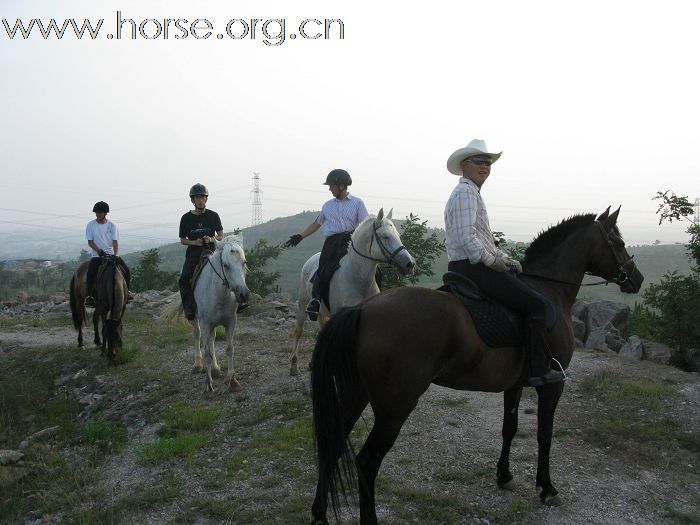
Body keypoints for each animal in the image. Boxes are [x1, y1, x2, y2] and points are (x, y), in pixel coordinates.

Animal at [190, 235, 250, 390]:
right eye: (225, 265)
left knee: (212, 340)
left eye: (244, 262)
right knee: (197, 336)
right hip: (196, 321)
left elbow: (229, 349)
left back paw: (216, 369)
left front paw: (232, 380)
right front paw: (208, 385)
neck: (219, 294)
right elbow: (207, 354)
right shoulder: (205, 324)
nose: (243, 294)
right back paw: (197, 364)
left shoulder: (231, 322)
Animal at [290, 207, 416, 374]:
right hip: (303, 305)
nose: (410, 264)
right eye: (385, 236)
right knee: (298, 331)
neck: (357, 278)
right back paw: (293, 365)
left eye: (398, 236)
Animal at [312, 207, 644, 520]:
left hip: (356, 394)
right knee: (367, 462)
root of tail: (363, 310)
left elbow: (509, 428)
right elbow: (544, 435)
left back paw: (319, 513)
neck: (548, 291)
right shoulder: (552, 385)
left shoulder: (516, 384)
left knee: (332, 445)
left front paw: (504, 475)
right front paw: (547, 488)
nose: (636, 278)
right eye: (618, 242)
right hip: (395, 406)